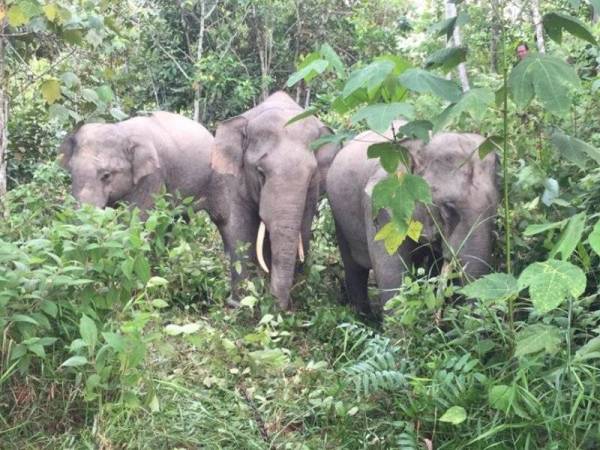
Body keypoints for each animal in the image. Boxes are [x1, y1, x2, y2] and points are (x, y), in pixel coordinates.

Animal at [209, 90, 336, 312]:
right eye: (260, 172)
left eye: (312, 176)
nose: (278, 307)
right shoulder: (236, 179)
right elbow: (239, 228)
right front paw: (239, 303)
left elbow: (302, 230)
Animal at [326, 125, 500, 318]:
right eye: (448, 207)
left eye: (495, 207)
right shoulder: (381, 208)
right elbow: (391, 275)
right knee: (354, 268)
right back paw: (364, 318)